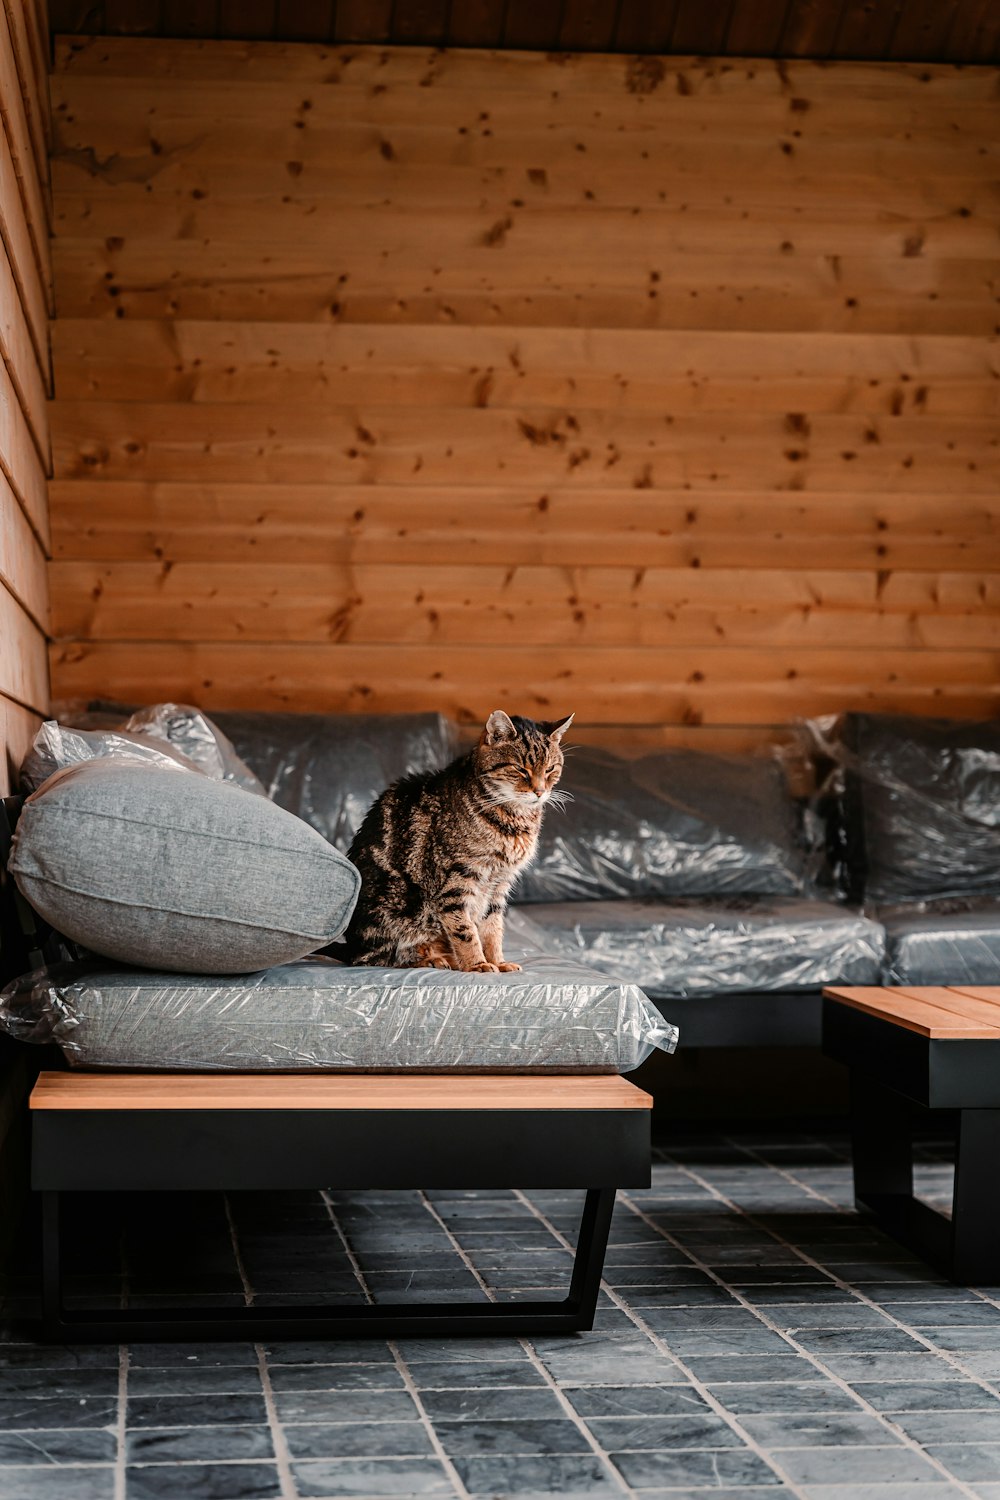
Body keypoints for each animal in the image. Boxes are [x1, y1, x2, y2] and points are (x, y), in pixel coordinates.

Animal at [344, 711, 575, 972]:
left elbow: (493, 928)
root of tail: (349, 946)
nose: (539, 791)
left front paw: (497, 961)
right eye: (520, 769)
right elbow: (464, 930)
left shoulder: (500, 884)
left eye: (550, 769)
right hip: (400, 909)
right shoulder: (457, 881)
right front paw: (477, 964)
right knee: (380, 957)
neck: (514, 818)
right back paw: (433, 959)